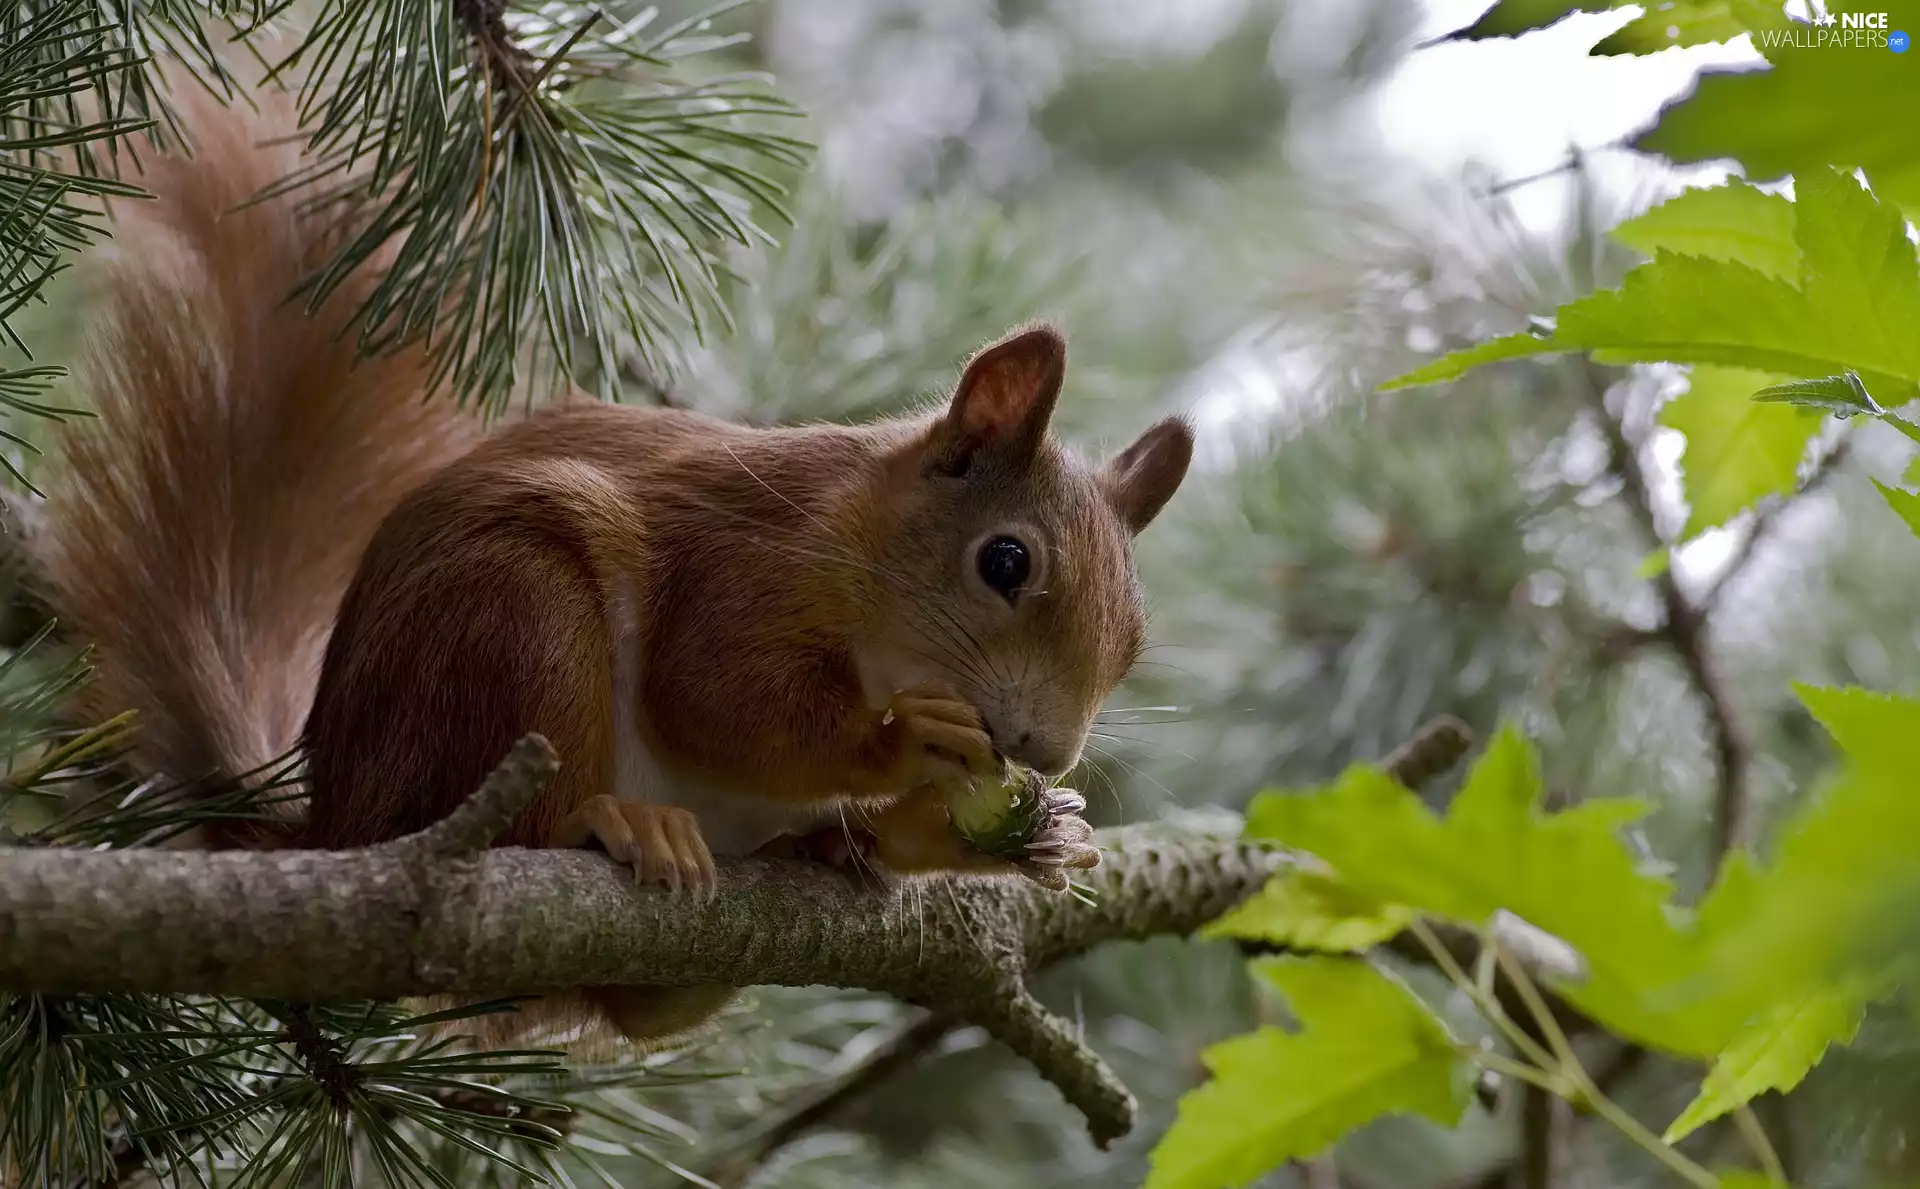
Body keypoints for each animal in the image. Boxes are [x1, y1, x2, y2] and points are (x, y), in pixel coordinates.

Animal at [32, 88, 1194, 1049]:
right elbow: (719, 701)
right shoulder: (740, 569)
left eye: (1137, 638)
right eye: (1004, 560)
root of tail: (333, 828)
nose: (1044, 749)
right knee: (523, 823)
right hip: (514, 621)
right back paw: (610, 821)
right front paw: (910, 741)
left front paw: (1021, 833)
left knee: (645, 1011)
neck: (857, 544)